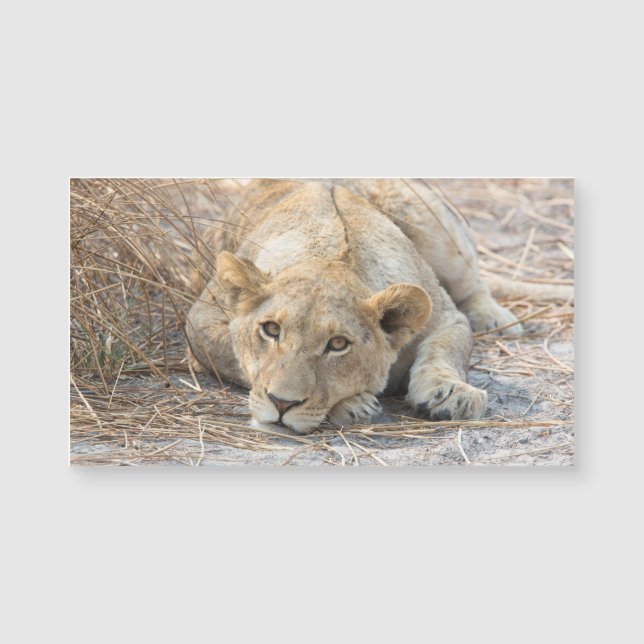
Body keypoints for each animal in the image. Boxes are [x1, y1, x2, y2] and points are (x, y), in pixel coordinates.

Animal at [185, 179, 522, 434]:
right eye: (270, 329)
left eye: (337, 344)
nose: (281, 403)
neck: (332, 256)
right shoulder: (200, 321)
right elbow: (236, 359)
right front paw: (353, 404)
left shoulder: (447, 317)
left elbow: (446, 349)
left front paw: (453, 395)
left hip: (437, 230)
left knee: (473, 282)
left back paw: (493, 317)